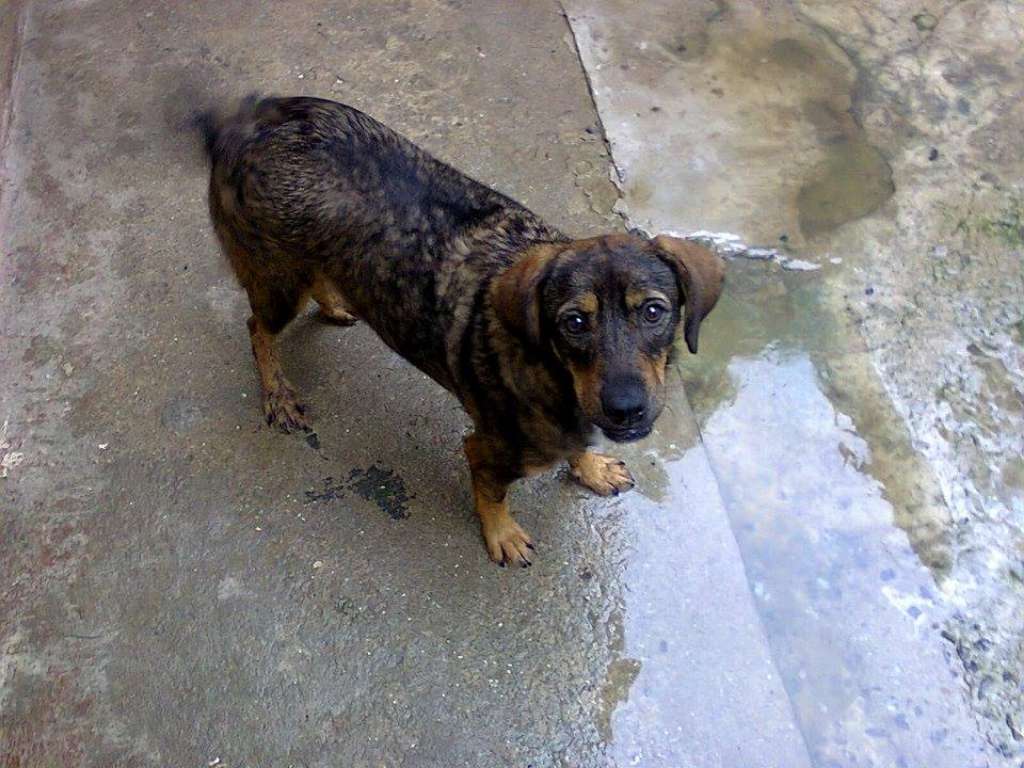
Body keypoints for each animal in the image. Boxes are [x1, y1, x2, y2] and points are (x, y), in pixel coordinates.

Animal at [197, 95, 724, 567]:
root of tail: (249, 119)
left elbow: (576, 448)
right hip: (277, 281)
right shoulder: (488, 450)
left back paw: (335, 304)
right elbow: (491, 494)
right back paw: (277, 393)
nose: (625, 409)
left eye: (654, 312)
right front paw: (502, 534)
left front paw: (590, 467)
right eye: (573, 323)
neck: (555, 377)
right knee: (257, 328)